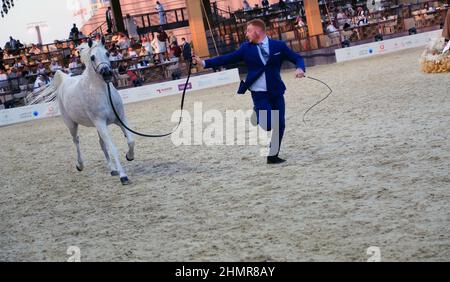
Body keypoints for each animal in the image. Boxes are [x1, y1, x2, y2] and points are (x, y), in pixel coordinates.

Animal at [50, 38, 134, 186]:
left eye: (107, 53)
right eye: (92, 57)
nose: (106, 73)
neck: (104, 94)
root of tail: (65, 80)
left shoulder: (120, 119)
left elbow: (130, 140)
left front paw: (129, 156)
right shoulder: (100, 123)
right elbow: (113, 148)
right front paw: (123, 176)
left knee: (102, 144)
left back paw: (112, 169)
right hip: (72, 125)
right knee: (76, 141)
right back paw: (80, 165)